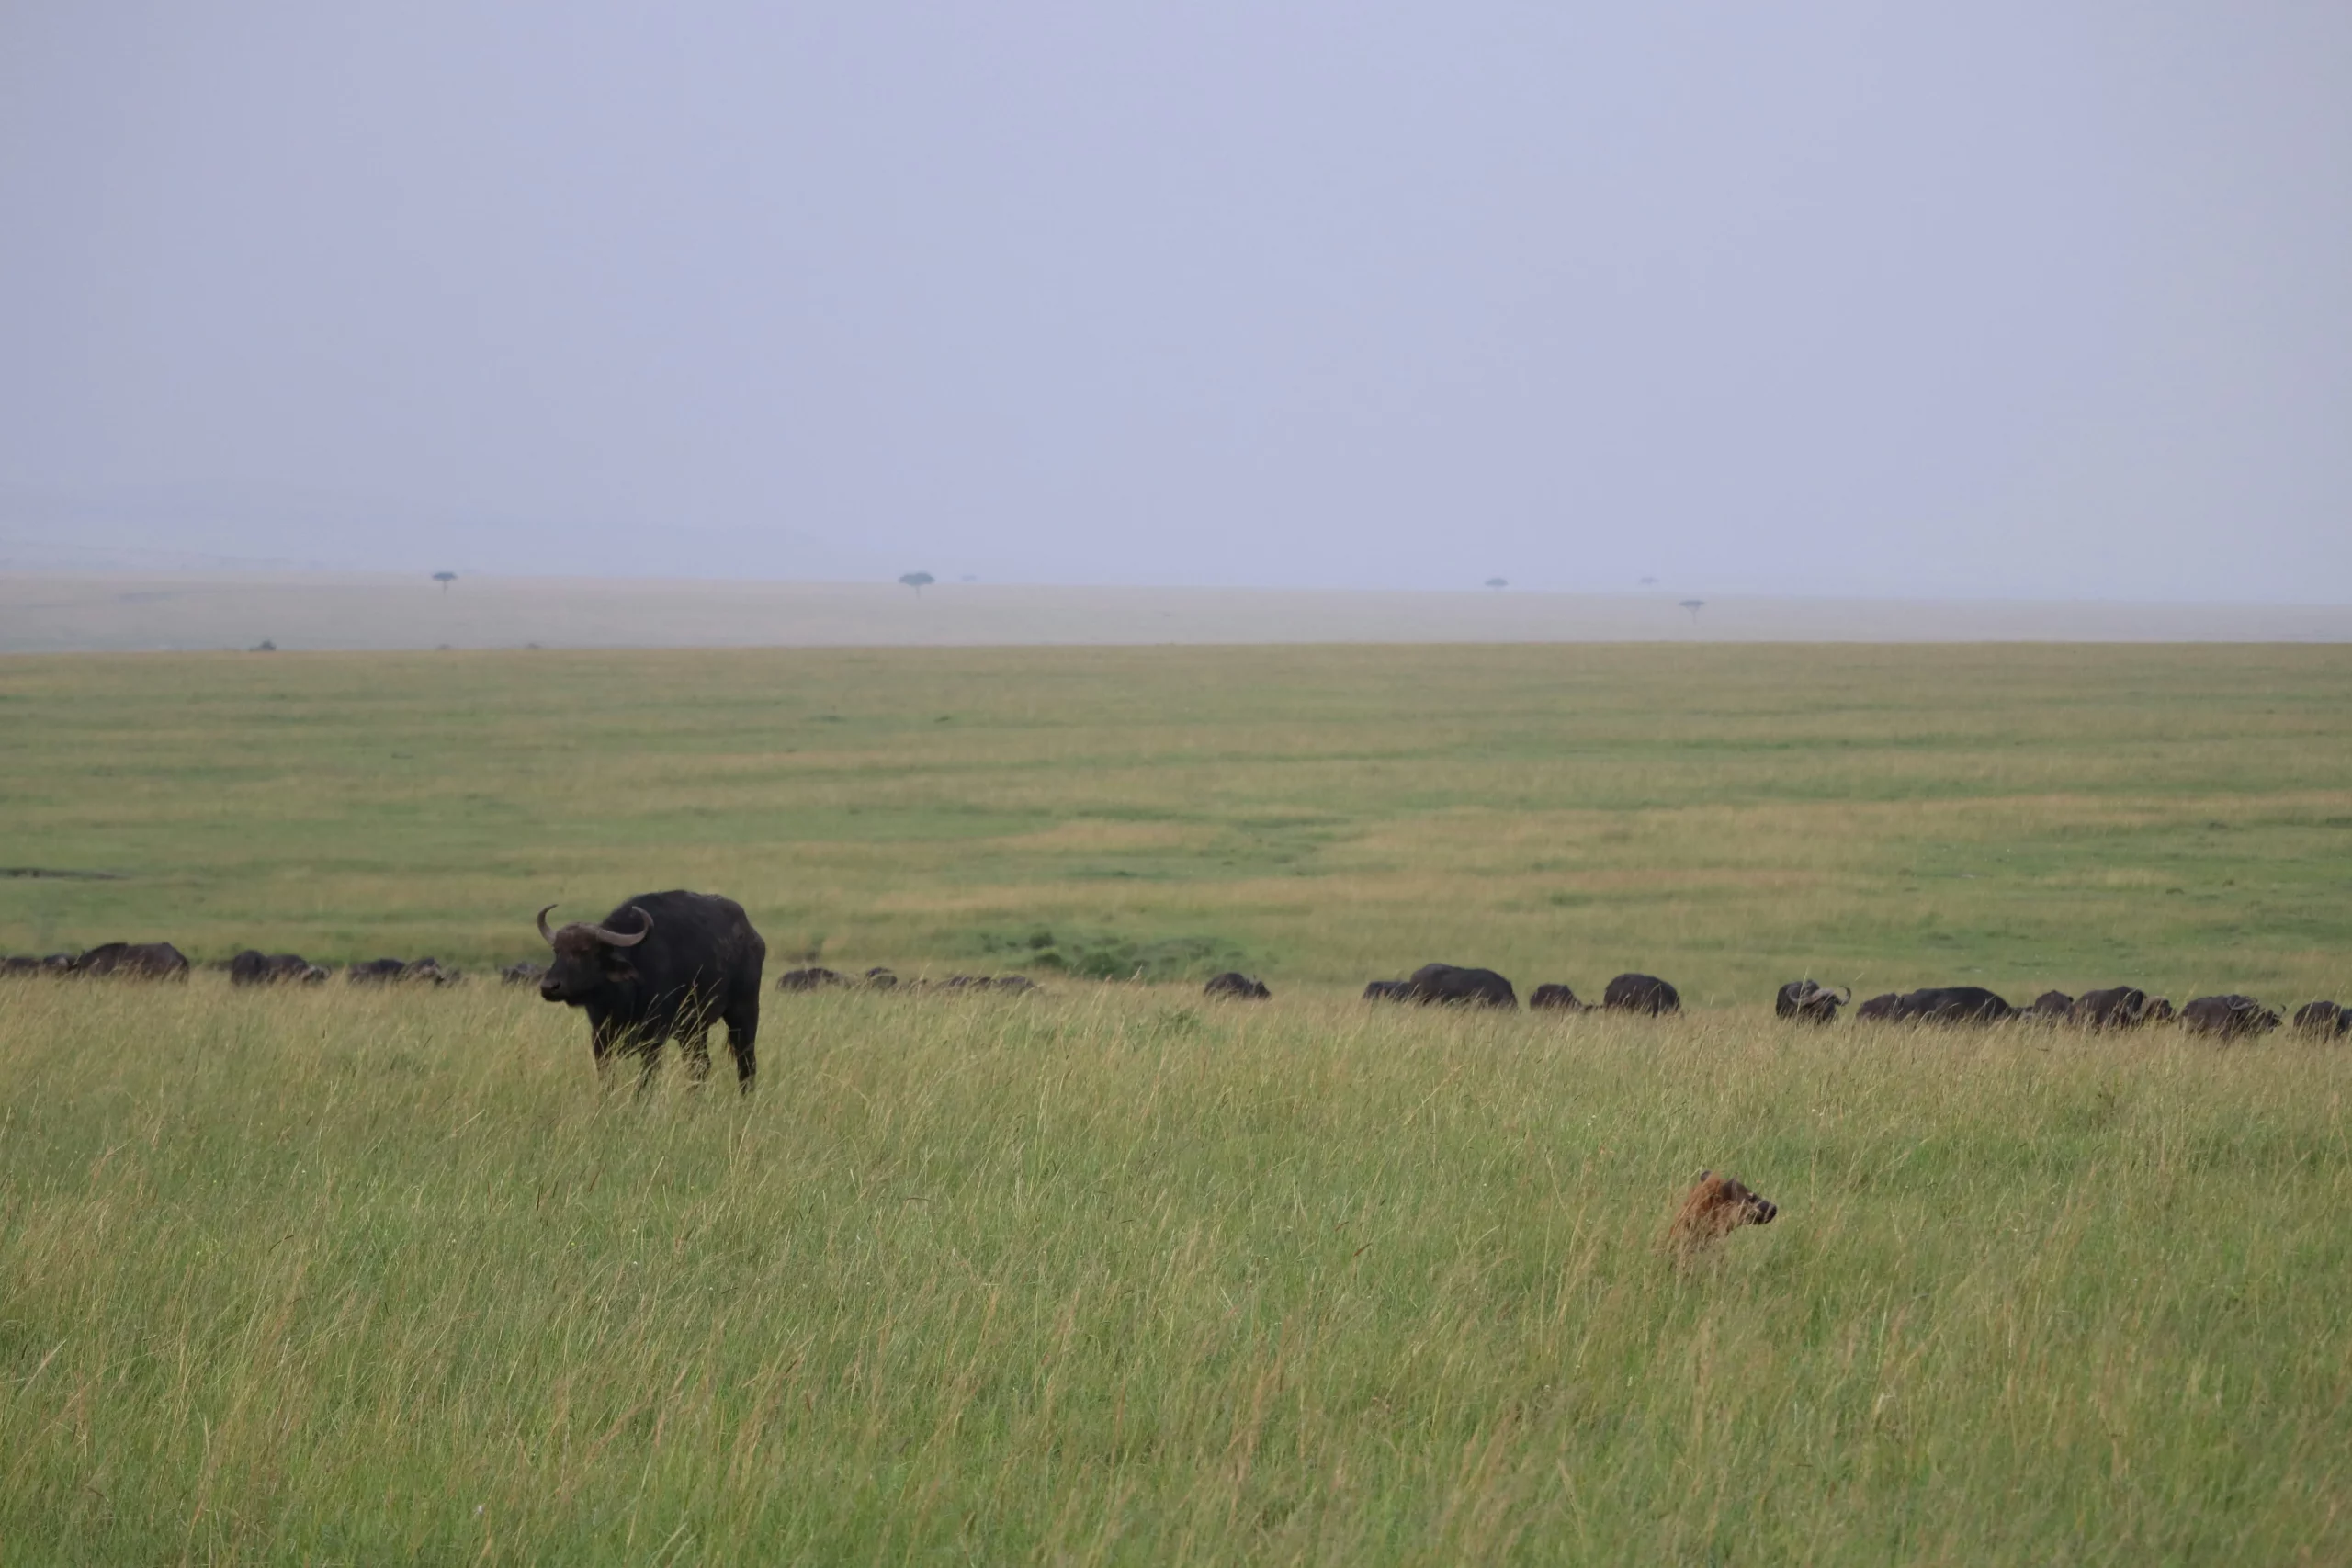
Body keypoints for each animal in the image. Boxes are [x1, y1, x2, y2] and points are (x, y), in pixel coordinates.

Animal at [534, 888, 762, 1100]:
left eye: (583, 951)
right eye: (557, 951)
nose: (549, 986)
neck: (621, 999)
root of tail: (752, 937)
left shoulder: (653, 1038)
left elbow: (646, 1079)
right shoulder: (600, 1036)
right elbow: (607, 1076)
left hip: (744, 1013)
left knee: (746, 1062)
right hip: (693, 1029)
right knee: (699, 1065)